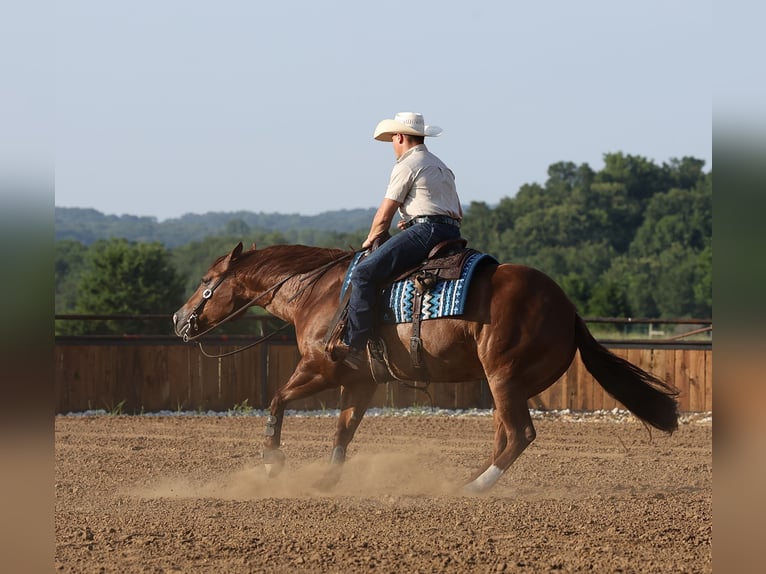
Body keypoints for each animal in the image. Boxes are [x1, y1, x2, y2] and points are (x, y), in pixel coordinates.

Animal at [172, 241, 679, 493]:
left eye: (206, 282)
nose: (178, 319)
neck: (320, 293)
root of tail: (568, 309)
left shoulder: (320, 367)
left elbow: (277, 401)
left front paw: (273, 463)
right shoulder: (359, 381)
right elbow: (343, 431)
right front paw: (326, 480)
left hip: (504, 377)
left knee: (520, 434)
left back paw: (474, 488)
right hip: (503, 384)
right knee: (505, 435)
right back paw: (470, 479)